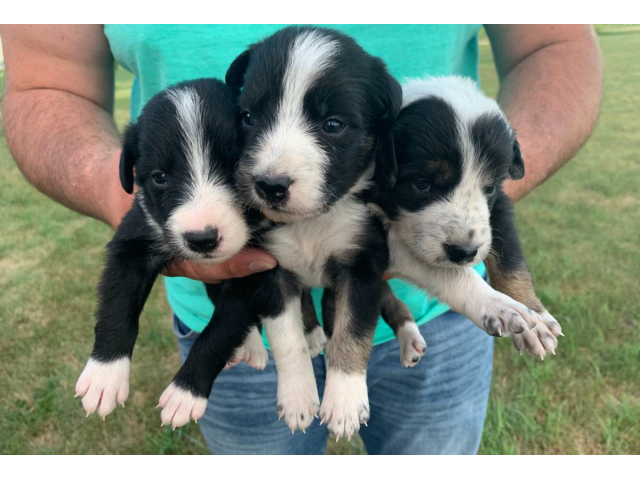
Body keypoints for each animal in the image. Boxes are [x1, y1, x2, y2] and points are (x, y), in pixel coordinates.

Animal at [75, 80, 264, 422]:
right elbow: (117, 308)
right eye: (160, 177)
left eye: (237, 168)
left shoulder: (255, 267)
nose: (202, 239)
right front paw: (104, 375)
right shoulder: (132, 244)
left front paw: (185, 393)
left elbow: (222, 328)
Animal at [372, 76, 564, 360]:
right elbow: (451, 274)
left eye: (490, 187)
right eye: (421, 184)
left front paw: (536, 321)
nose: (464, 253)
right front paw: (499, 306)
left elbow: (510, 260)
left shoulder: (498, 205)